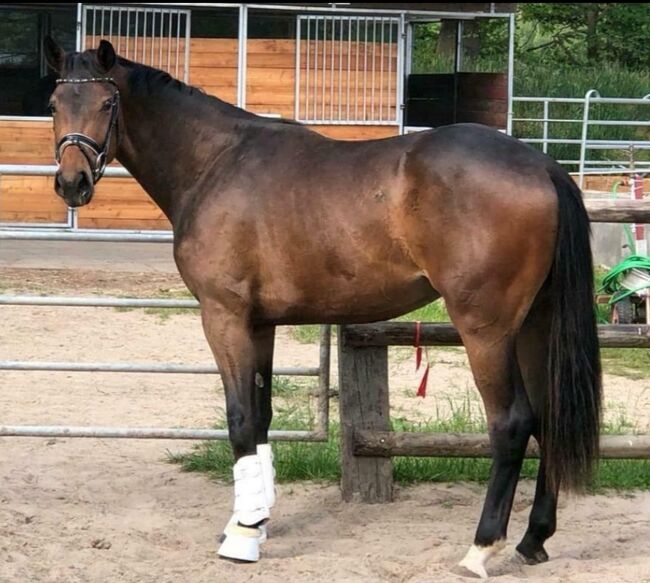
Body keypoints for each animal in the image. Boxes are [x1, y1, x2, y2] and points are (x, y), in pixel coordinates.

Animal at [45, 38, 600, 576]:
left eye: (107, 103)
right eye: (54, 103)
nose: (72, 182)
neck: (215, 162)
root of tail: (542, 166)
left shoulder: (224, 317)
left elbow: (240, 419)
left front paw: (241, 540)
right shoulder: (260, 324)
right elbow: (262, 417)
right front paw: (254, 522)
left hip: (486, 329)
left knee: (511, 423)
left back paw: (481, 549)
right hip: (533, 325)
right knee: (548, 416)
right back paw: (533, 540)